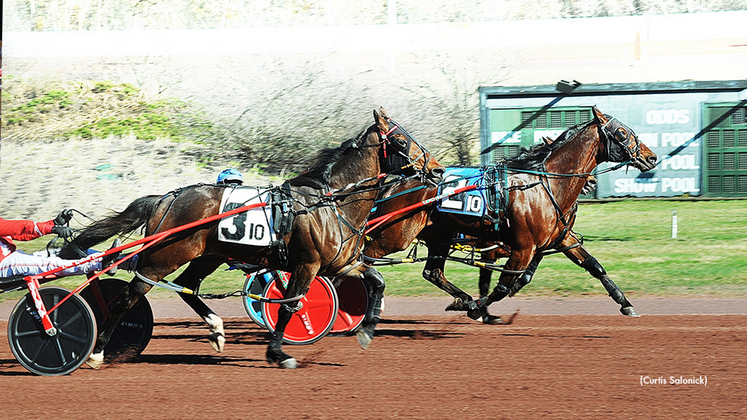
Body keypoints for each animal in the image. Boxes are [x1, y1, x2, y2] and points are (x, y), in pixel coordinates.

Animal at [61, 108, 444, 368]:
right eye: (401, 140)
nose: (438, 169)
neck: (329, 201)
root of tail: (167, 199)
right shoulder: (307, 265)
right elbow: (290, 305)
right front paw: (278, 352)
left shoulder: (340, 264)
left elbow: (377, 281)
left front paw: (365, 331)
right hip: (161, 258)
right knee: (127, 296)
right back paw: (97, 352)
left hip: (207, 256)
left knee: (187, 287)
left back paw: (216, 329)